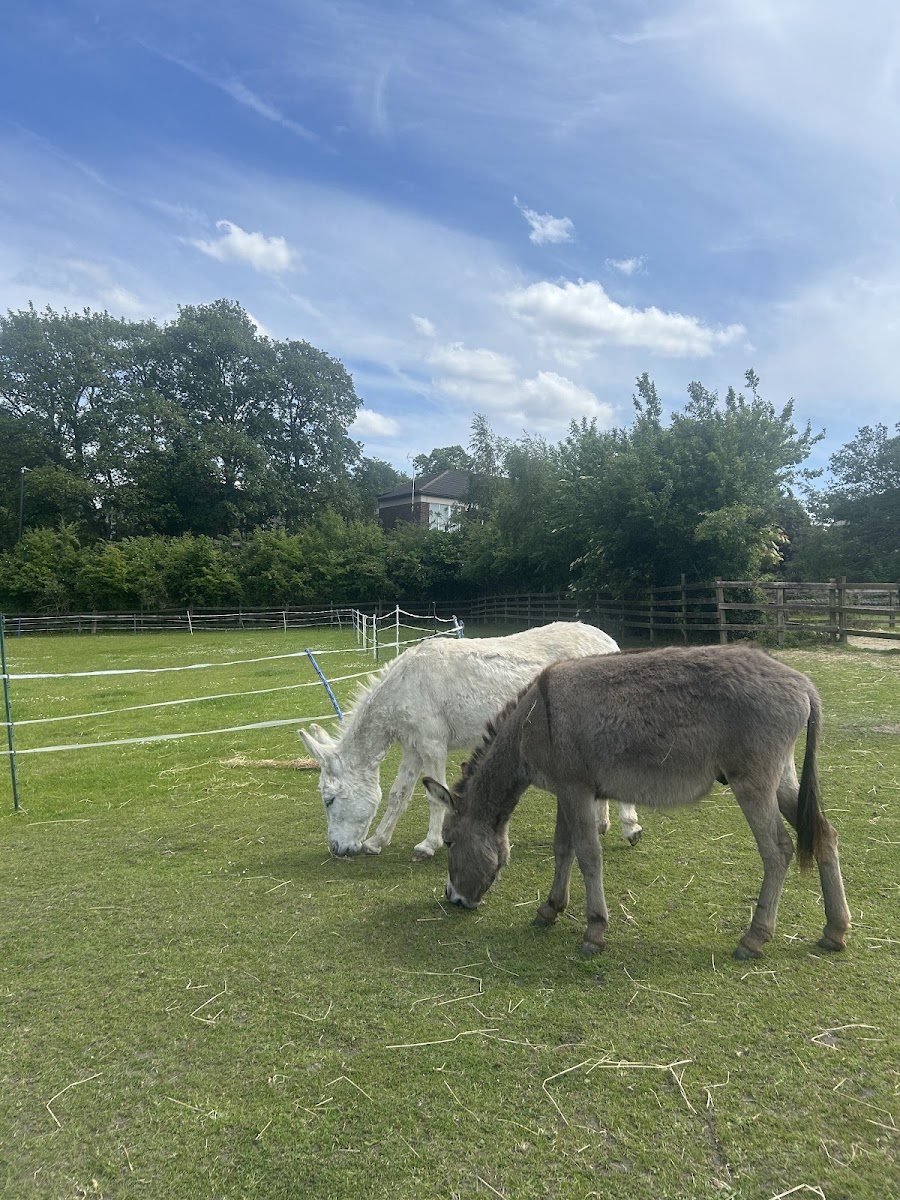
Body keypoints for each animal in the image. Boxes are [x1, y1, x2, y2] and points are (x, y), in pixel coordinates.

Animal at [299, 622, 643, 860]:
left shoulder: (432, 744)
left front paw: (428, 845)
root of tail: (608, 641)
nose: (337, 849)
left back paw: (630, 827)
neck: (404, 686)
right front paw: (376, 842)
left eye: (329, 800)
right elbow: (398, 794)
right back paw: (601, 824)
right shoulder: (413, 747)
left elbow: (434, 796)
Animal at [423, 643, 850, 960]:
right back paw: (835, 931)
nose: (452, 898)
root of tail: (802, 682)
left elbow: (588, 854)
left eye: (450, 841)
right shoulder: (567, 790)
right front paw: (550, 909)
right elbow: (563, 848)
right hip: (783, 780)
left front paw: (594, 931)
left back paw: (754, 938)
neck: (534, 719)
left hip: (753, 783)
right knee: (825, 833)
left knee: (778, 850)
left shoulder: (576, 790)